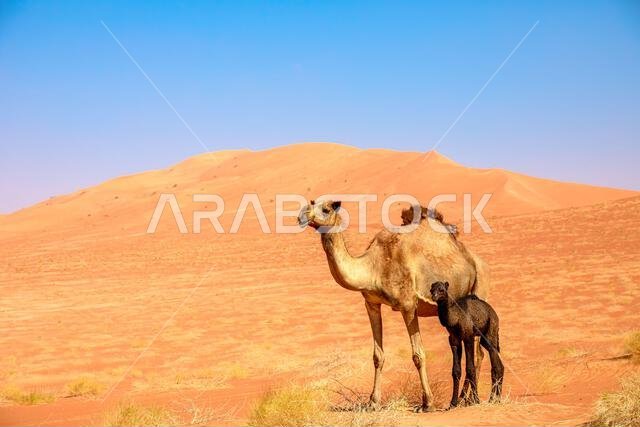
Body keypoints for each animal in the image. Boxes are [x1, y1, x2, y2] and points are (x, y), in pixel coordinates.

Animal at [298, 200, 490, 411]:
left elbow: (418, 355)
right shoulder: (371, 304)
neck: (374, 267)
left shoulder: (408, 305)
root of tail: (473, 259)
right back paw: (464, 399)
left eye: (326, 209)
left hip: (479, 288)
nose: (302, 215)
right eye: (311, 203)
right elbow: (377, 356)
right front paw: (373, 402)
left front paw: (427, 403)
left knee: (478, 352)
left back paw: (469, 399)